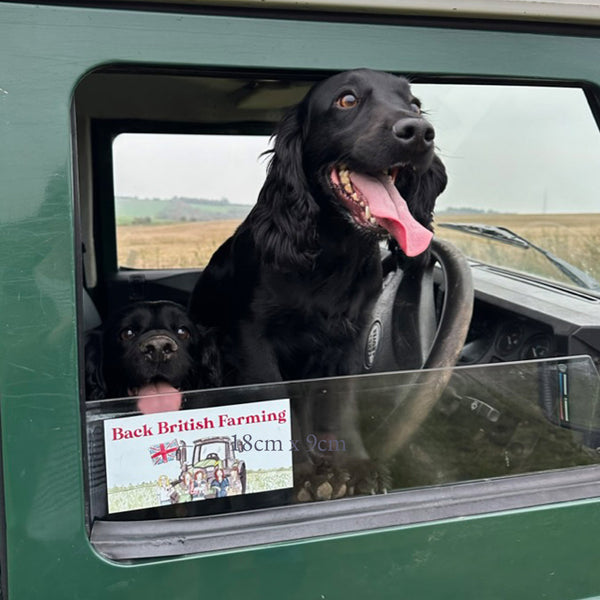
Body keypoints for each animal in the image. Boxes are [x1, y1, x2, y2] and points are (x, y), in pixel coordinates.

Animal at [190, 68, 448, 494]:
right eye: (347, 100)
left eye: (414, 104)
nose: (419, 132)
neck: (334, 253)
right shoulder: (252, 339)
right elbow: (276, 400)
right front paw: (301, 476)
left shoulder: (349, 338)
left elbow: (340, 402)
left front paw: (356, 465)